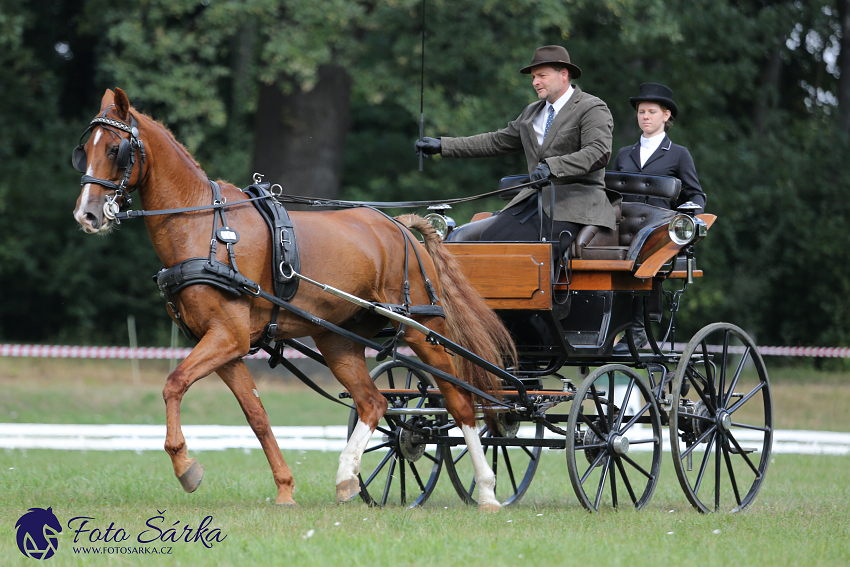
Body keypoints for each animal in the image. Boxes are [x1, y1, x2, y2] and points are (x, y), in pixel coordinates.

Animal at [71, 87, 510, 510]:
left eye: (115, 149)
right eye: (84, 150)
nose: (86, 215)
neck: (204, 228)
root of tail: (400, 227)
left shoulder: (227, 336)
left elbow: (174, 383)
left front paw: (184, 464)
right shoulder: (225, 346)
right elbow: (257, 415)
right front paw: (284, 489)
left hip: (423, 329)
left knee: (460, 402)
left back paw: (487, 491)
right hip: (337, 339)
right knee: (373, 403)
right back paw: (347, 478)